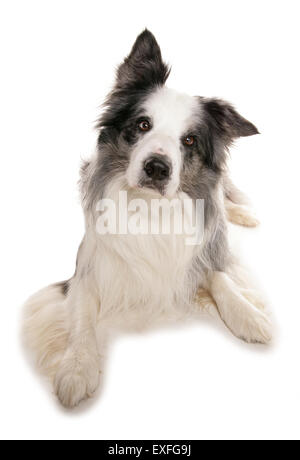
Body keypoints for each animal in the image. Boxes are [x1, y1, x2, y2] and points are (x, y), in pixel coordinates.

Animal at [23, 30, 272, 408]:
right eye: (143, 124)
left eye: (189, 140)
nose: (157, 167)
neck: (151, 209)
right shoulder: (85, 271)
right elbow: (81, 320)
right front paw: (77, 369)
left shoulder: (204, 252)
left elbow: (221, 278)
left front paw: (250, 315)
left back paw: (245, 214)